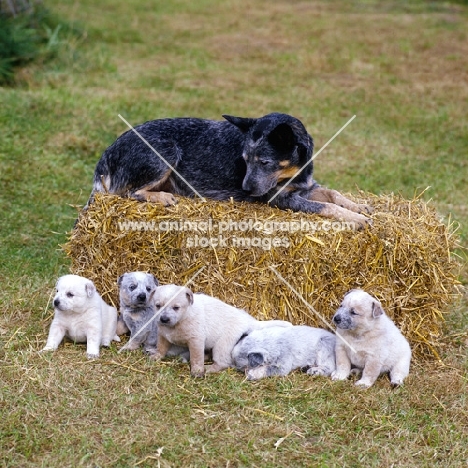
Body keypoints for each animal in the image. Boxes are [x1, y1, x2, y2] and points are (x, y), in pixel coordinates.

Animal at [150, 284, 290, 378]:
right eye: (158, 305)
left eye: (176, 307)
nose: (164, 319)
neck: (180, 321)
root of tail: (249, 321)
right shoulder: (162, 334)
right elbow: (161, 347)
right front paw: (156, 356)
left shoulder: (196, 340)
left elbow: (196, 358)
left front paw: (197, 371)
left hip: (222, 346)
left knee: (222, 363)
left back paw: (208, 368)